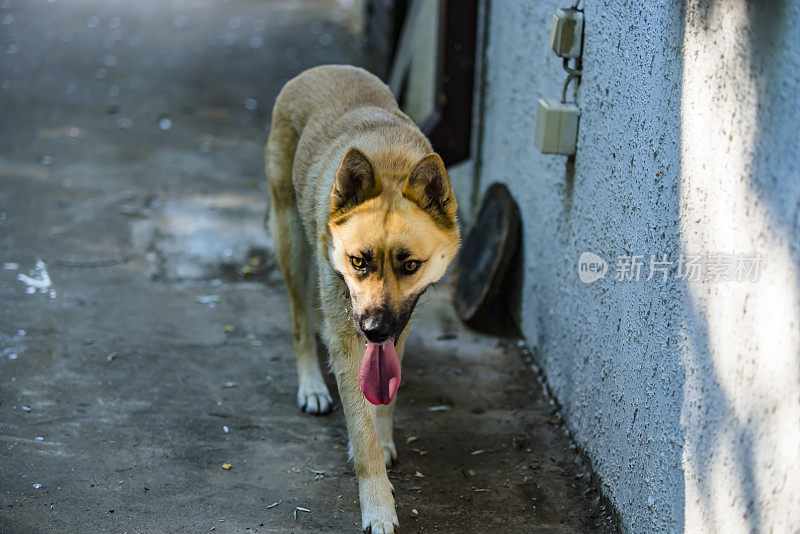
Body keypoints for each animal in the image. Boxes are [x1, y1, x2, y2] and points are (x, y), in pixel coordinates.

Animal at [266, 65, 460, 532]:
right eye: (358, 261)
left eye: (410, 265)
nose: (373, 329)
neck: (389, 164)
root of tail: (320, 68)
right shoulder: (349, 332)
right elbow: (360, 422)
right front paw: (378, 505)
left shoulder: (398, 328)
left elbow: (383, 396)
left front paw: (382, 437)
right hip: (291, 245)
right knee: (300, 322)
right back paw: (312, 386)